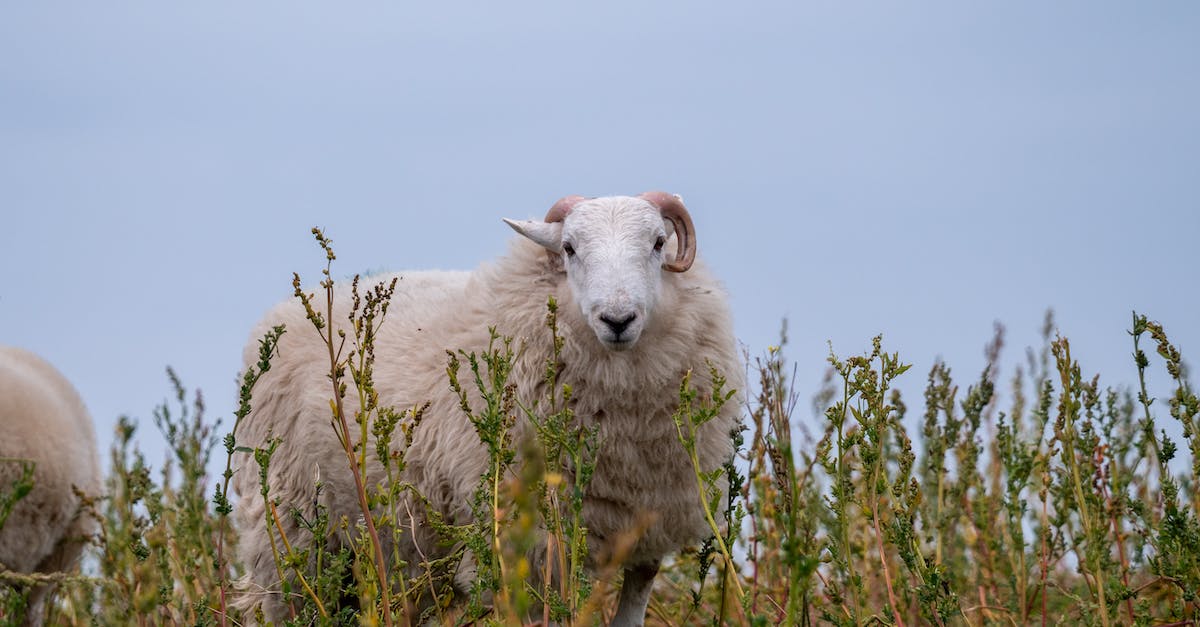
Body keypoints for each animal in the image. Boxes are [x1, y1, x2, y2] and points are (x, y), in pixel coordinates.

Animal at [232, 192, 742, 625]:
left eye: (657, 243)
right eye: (570, 248)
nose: (617, 319)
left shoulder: (647, 534)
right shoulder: (530, 545)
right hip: (291, 537)